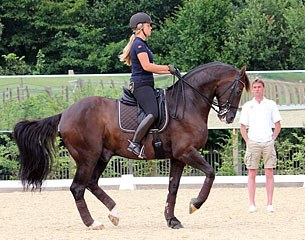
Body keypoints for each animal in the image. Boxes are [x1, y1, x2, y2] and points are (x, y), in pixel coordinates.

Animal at [12, 61, 249, 230]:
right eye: (238, 90)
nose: (228, 117)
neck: (188, 103)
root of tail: (65, 114)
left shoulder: (177, 157)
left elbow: (173, 187)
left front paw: (172, 220)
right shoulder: (186, 152)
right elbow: (210, 173)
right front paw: (195, 204)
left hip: (102, 156)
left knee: (91, 184)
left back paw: (114, 213)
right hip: (87, 157)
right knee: (77, 188)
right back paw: (93, 223)